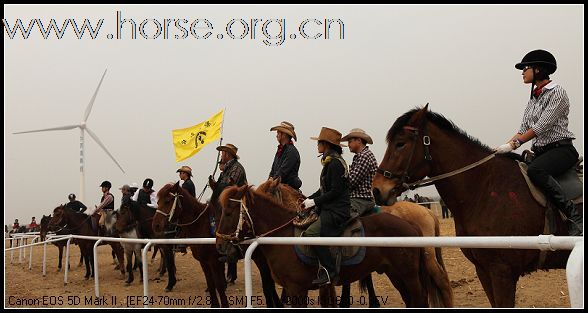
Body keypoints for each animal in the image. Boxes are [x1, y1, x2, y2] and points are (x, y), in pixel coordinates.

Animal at [216, 184, 432, 306]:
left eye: (228, 212)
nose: (219, 246)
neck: (284, 237)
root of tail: (410, 224)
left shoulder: (297, 289)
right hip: (395, 274)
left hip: (409, 276)